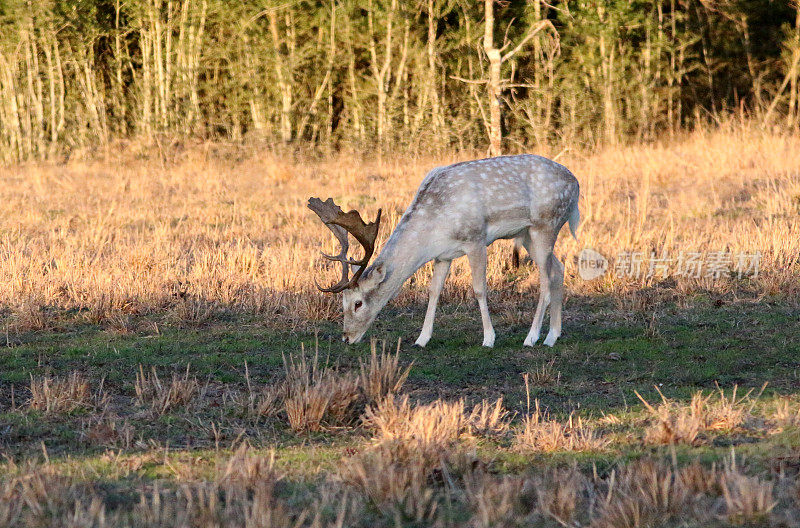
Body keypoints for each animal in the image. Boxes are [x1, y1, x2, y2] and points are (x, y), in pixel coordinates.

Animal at [310, 155, 580, 348]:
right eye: (342, 303)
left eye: (358, 303)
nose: (346, 337)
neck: (434, 228)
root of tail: (576, 185)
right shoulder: (443, 255)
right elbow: (434, 291)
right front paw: (421, 339)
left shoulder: (475, 239)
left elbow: (479, 289)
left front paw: (489, 339)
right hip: (526, 235)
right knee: (558, 269)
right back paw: (552, 336)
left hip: (545, 224)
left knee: (545, 281)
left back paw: (531, 338)